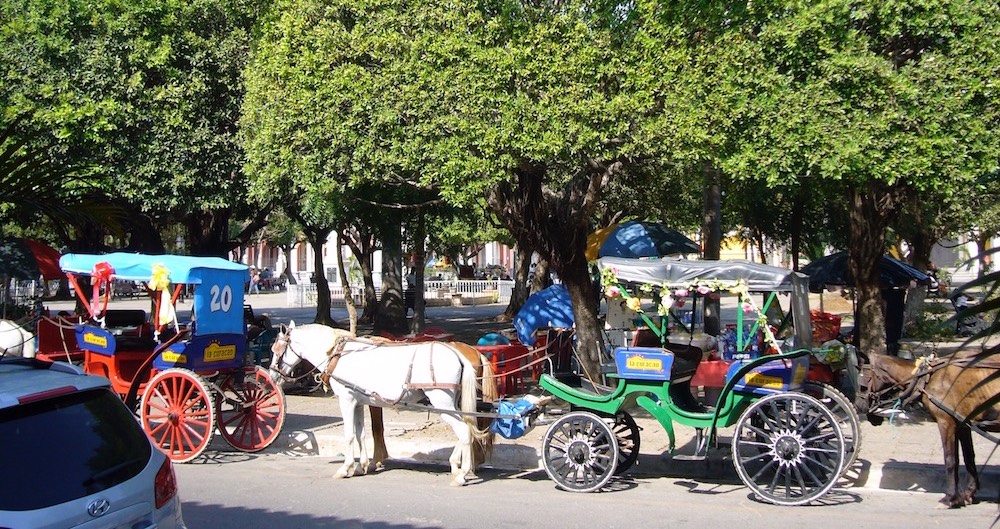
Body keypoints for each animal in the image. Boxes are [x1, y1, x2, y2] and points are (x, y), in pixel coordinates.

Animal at [268, 320, 498, 484]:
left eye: (276, 349)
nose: (272, 376)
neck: (337, 354)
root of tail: (460, 354)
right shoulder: (359, 402)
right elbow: (361, 434)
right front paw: (361, 466)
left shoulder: (347, 400)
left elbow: (350, 435)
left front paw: (345, 468)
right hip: (454, 404)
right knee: (468, 428)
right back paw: (460, 466)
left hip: (443, 403)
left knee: (464, 431)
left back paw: (462, 472)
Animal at [852, 346, 1000, 508]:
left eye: (863, 384)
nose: (858, 406)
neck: (927, 377)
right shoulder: (963, 424)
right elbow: (969, 458)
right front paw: (968, 494)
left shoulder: (946, 422)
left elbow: (950, 460)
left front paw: (950, 498)